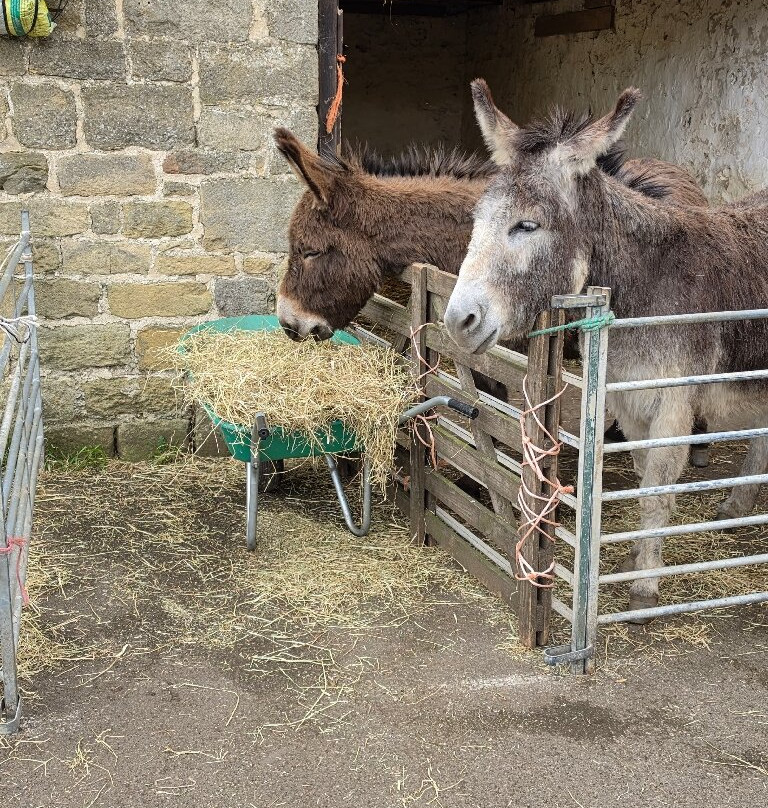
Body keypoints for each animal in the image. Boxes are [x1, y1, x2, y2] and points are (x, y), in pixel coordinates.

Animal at [443, 79, 768, 619]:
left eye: (526, 226)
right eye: (476, 219)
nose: (456, 322)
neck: (642, 284)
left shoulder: (673, 404)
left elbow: (656, 491)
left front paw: (645, 588)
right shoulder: (628, 400)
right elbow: (640, 479)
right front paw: (636, 561)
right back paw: (737, 506)